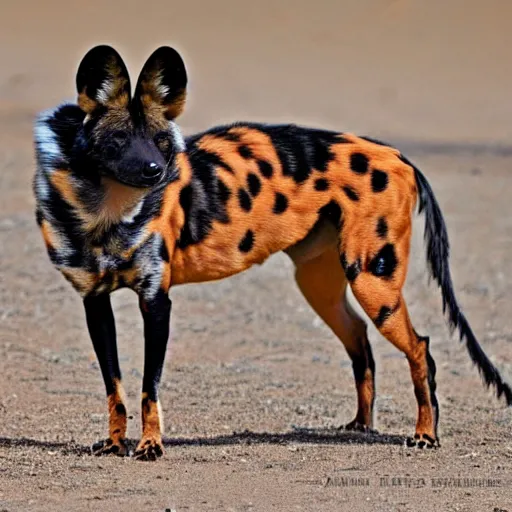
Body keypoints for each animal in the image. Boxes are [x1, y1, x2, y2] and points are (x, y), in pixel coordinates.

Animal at [34, 44, 510, 460]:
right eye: (117, 141)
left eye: (161, 141)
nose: (156, 171)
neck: (104, 214)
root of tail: (397, 155)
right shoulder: (96, 303)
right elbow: (114, 387)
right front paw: (115, 444)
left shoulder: (156, 303)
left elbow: (149, 389)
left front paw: (150, 447)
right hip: (324, 289)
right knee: (361, 341)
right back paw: (361, 425)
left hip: (375, 285)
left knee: (420, 349)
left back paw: (425, 434)